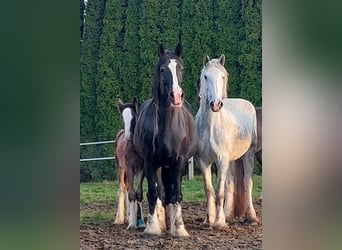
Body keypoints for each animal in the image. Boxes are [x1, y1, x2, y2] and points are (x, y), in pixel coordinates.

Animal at [133, 43, 198, 236]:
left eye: (181, 68)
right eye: (163, 69)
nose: (176, 96)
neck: (166, 125)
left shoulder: (179, 161)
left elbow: (176, 193)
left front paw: (179, 228)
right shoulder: (150, 161)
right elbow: (153, 192)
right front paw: (153, 227)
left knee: (171, 192)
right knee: (161, 191)